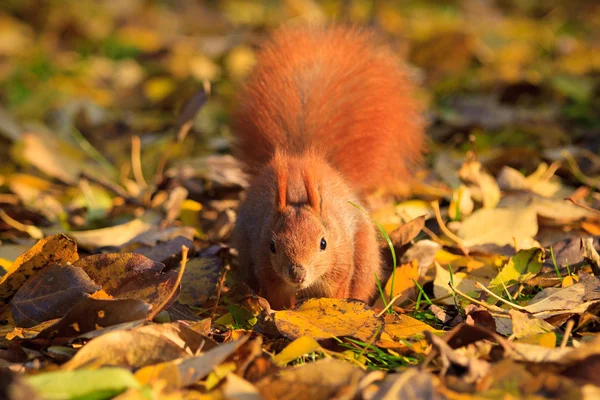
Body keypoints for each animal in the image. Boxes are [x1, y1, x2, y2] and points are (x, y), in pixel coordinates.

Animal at [232, 25, 424, 310]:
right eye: (272, 245)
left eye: (323, 243)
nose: (297, 273)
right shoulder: (269, 272)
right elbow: (278, 300)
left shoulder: (339, 269)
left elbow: (335, 294)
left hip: (365, 257)